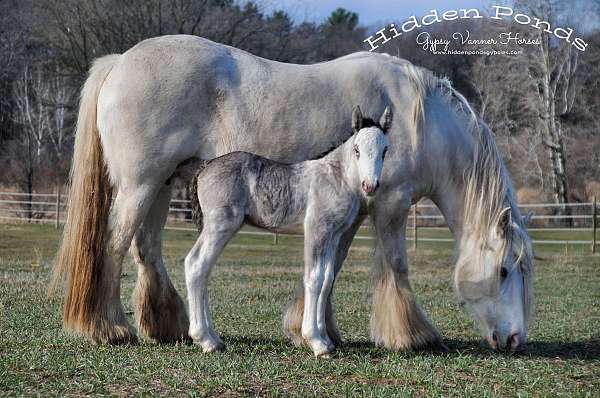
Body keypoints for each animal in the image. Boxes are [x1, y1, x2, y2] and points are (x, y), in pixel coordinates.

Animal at [188, 106, 392, 358]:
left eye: (385, 150)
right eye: (356, 149)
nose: (370, 186)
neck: (336, 178)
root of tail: (206, 166)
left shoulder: (332, 236)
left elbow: (327, 279)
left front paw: (326, 340)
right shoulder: (316, 229)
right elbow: (314, 278)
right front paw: (316, 341)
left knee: (203, 270)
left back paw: (213, 337)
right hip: (220, 225)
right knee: (196, 264)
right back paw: (205, 340)